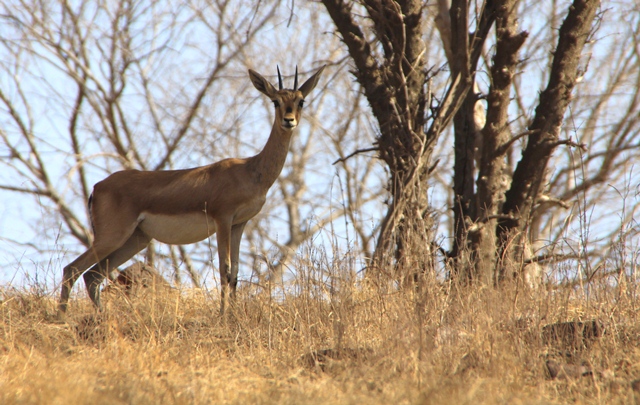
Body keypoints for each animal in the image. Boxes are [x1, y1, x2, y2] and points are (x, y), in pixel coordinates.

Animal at [57, 65, 325, 318]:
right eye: (275, 101)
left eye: (301, 100)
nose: (289, 120)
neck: (250, 169)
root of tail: (98, 187)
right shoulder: (222, 220)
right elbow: (225, 269)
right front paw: (223, 315)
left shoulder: (239, 224)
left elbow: (236, 272)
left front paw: (234, 314)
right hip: (113, 236)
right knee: (72, 269)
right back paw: (62, 317)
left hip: (136, 239)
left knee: (92, 275)